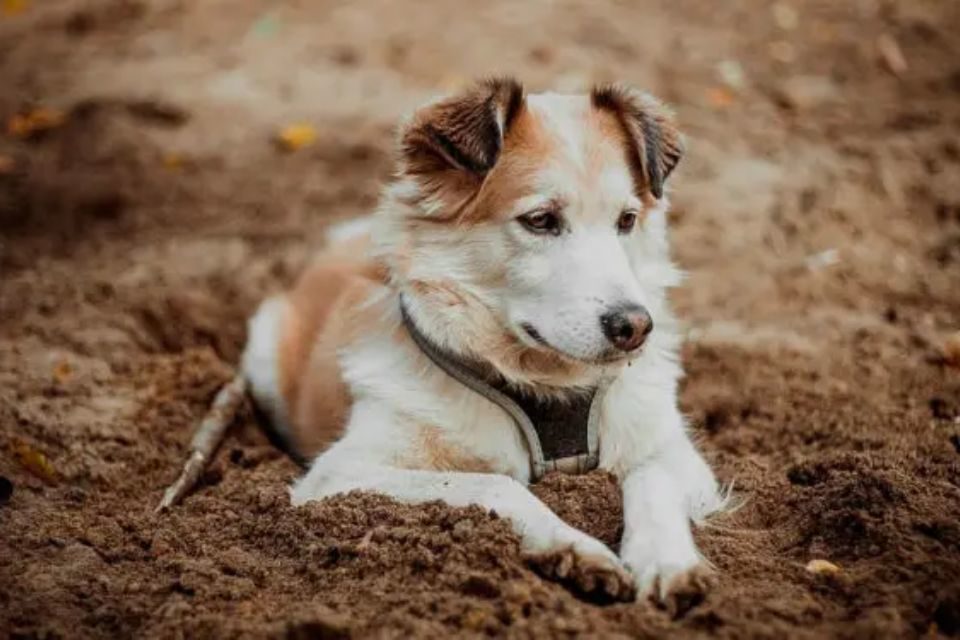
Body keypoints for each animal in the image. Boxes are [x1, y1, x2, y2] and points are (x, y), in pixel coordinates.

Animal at [240, 79, 720, 604]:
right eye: (540, 220)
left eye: (627, 220)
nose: (633, 327)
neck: (546, 383)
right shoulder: (342, 473)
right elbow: (495, 484)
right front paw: (572, 546)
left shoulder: (677, 455)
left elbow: (652, 479)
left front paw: (667, 560)